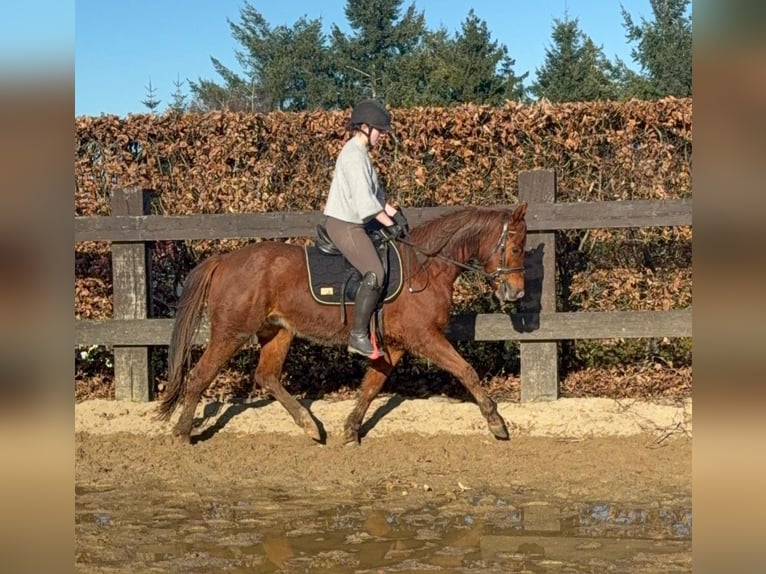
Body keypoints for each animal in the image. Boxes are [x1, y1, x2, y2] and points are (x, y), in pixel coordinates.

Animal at [156, 203, 528, 444]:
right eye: (515, 247)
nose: (516, 292)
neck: (423, 269)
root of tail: (223, 260)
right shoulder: (424, 337)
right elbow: (466, 371)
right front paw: (497, 423)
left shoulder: (395, 344)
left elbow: (371, 387)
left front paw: (350, 430)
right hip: (231, 333)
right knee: (200, 376)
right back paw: (182, 434)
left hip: (278, 331)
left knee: (267, 376)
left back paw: (309, 426)